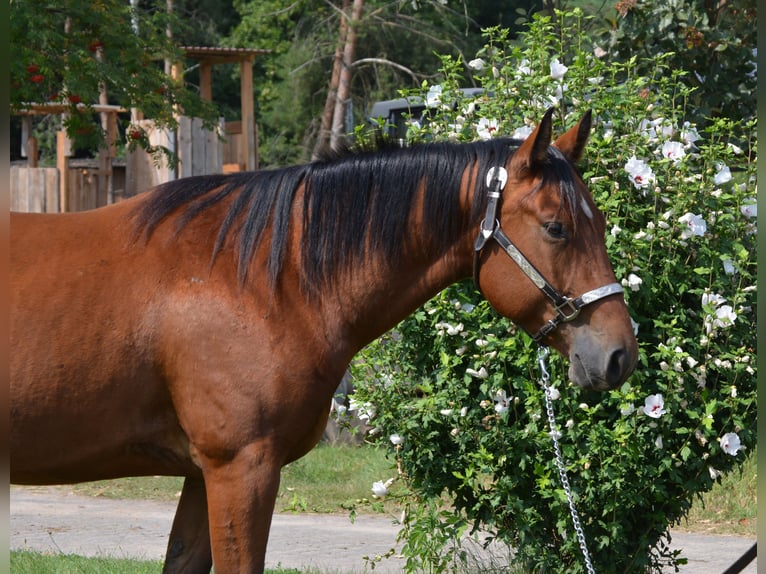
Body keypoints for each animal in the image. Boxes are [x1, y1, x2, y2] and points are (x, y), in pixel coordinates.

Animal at [10, 108, 638, 573]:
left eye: (602, 223)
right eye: (556, 227)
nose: (619, 355)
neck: (258, 277)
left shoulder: (200, 473)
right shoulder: (240, 469)